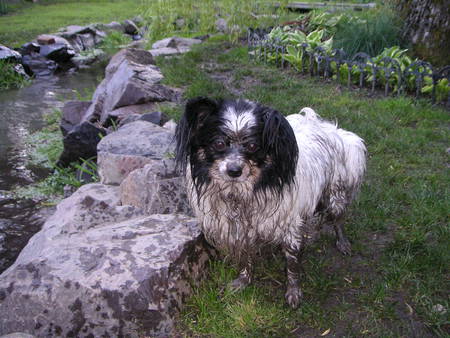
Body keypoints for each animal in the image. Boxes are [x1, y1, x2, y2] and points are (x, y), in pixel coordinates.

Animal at [174, 97, 368, 308]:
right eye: (219, 143)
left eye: (252, 146)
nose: (234, 171)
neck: (241, 195)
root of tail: (335, 130)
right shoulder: (242, 230)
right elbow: (246, 258)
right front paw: (244, 280)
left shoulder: (289, 226)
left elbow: (292, 264)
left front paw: (293, 292)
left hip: (335, 197)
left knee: (338, 219)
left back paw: (343, 242)